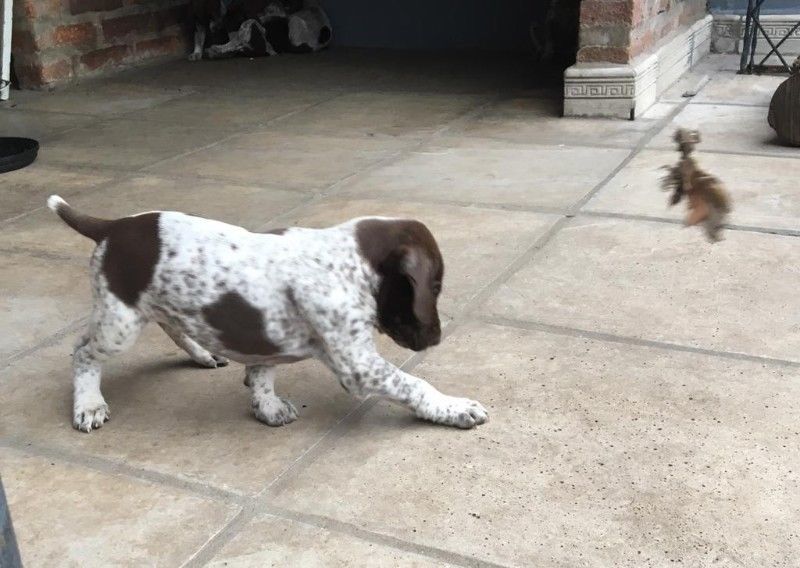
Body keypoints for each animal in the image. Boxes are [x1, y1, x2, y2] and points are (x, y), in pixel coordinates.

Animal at [48, 197, 488, 432]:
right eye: (434, 286)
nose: (436, 338)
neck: (349, 263)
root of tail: (111, 228)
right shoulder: (358, 365)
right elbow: (416, 385)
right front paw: (454, 408)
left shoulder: (268, 336)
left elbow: (261, 372)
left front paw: (266, 405)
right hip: (118, 325)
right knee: (83, 352)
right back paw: (88, 404)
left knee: (171, 324)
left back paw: (202, 354)